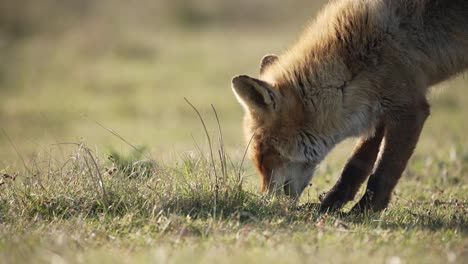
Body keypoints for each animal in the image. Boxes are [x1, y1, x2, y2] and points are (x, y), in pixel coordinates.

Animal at [231, 0, 468, 211]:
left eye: (263, 156)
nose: (266, 202)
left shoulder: (410, 108)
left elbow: (384, 171)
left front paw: (365, 211)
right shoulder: (376, 108)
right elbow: (356, 164)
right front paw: (330, 205)